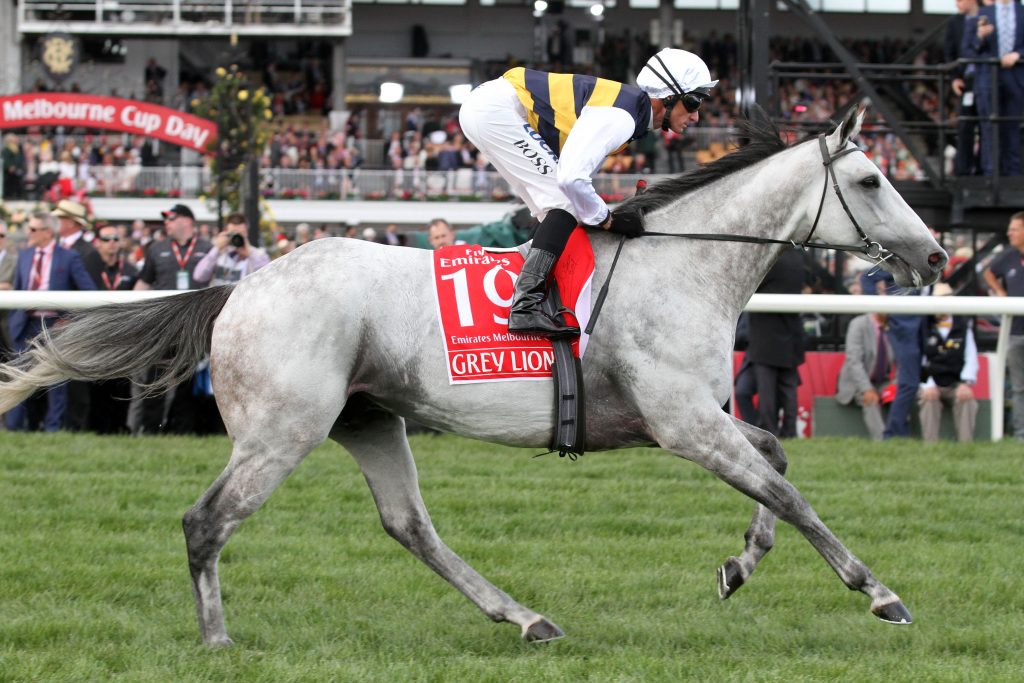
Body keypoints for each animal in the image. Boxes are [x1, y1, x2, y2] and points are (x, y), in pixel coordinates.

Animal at [0, 108, 946, 646]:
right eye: (871, 178)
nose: (936, 254)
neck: (682, 264)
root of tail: (240, 284)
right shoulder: (683, 422)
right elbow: (790, 492)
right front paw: (881, 594)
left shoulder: (692, 417)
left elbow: (777, 460)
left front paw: (738, 566)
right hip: (282, 428)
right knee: (206, 521)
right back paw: (217, 641)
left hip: (370, 418)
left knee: (408, 525)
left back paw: (524, 616)